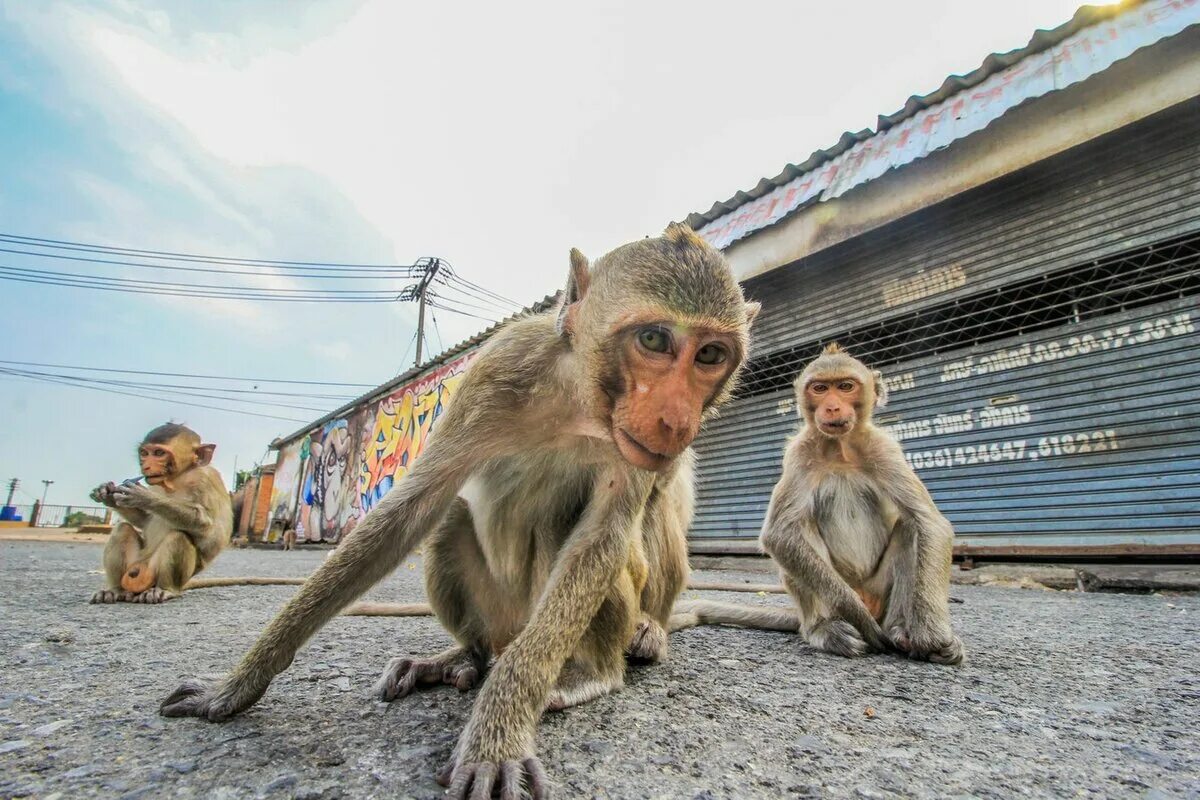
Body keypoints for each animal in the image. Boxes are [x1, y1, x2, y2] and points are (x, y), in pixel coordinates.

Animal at [88, 422, 231, 604]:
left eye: (159, 453)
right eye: (144, 453)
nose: (145, 466)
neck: (176, 480)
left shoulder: (205, 480)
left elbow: (207, 526)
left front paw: (143, 496)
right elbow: (144, 520)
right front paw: (107, 493)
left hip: (159, 573)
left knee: (178, 536)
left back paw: (164, 590)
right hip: (135, 564)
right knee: (122, 530)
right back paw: (115, 590)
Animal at [159, 221, 758, 796]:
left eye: (710, 354)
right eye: (654, 339)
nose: (677, 422)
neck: (579, 404)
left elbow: (599, 541)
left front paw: (498, 733)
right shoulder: (497, 370)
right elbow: (412, 509)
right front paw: (236, 685)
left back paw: (590, 671)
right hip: (496, 614)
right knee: (451, 523)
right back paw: (462, 659)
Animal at [753, 345, 969, 662]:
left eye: (845, 386)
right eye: (820, 388)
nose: (832, 407)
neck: (840, 449)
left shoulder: (884, 449)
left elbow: (929, 523)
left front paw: (931, 634)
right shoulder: (799, 452)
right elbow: (780, 535)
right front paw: (861, 621)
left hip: (879, 588)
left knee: (910, 527)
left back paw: (900, 629)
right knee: (800, 530)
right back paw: (827, 629)